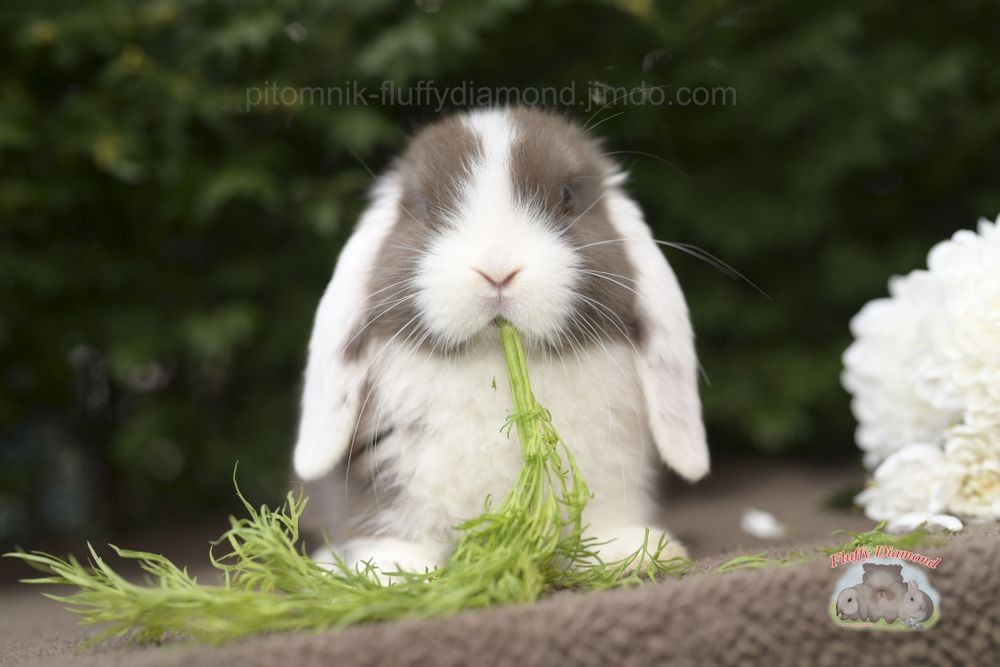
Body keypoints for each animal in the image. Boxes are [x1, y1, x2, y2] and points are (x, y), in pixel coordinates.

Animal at [292, 107, 709, 577]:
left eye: (567, 196)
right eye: (425, 206)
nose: (497, 270)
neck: (494, 361)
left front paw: (630, 551)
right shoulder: (381, 474)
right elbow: (389, 530)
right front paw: (393, 570)